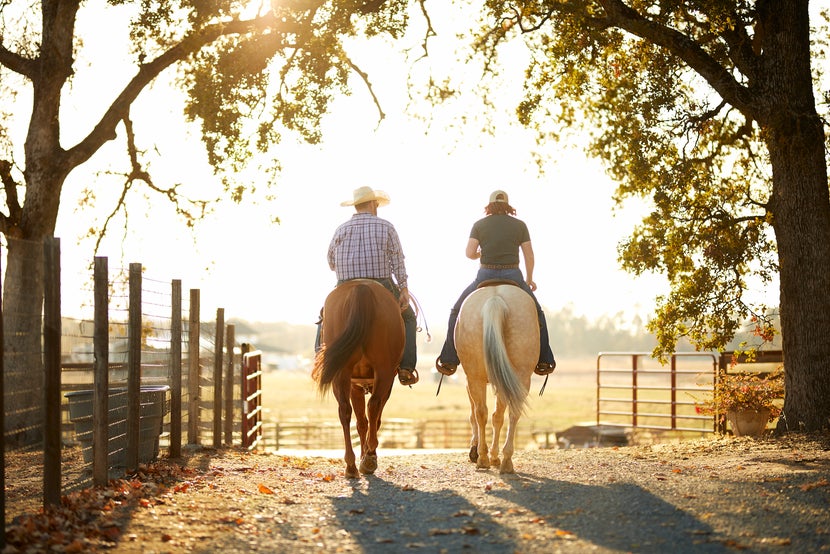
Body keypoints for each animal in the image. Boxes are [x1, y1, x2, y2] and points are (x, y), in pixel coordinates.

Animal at [312, 278, 406, 476]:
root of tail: (361, 288)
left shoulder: (355, 385)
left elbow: (362, 421)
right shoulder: (379, 385)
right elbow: (370, 421)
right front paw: (367, 454)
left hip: (343, 373)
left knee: (345, 411)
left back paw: (352, 464)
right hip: (383, 371)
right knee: (372, 407)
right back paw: (368, 457)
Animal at [456, 282, 540, 472]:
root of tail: (495, 300)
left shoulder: (471, 381)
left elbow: (476, 414)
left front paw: (477, 451)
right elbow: (495, 416)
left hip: (477, 377)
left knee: (482, 412)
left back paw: (485, 458)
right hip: (519, 377)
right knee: (507, 413)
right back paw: (503, 459)